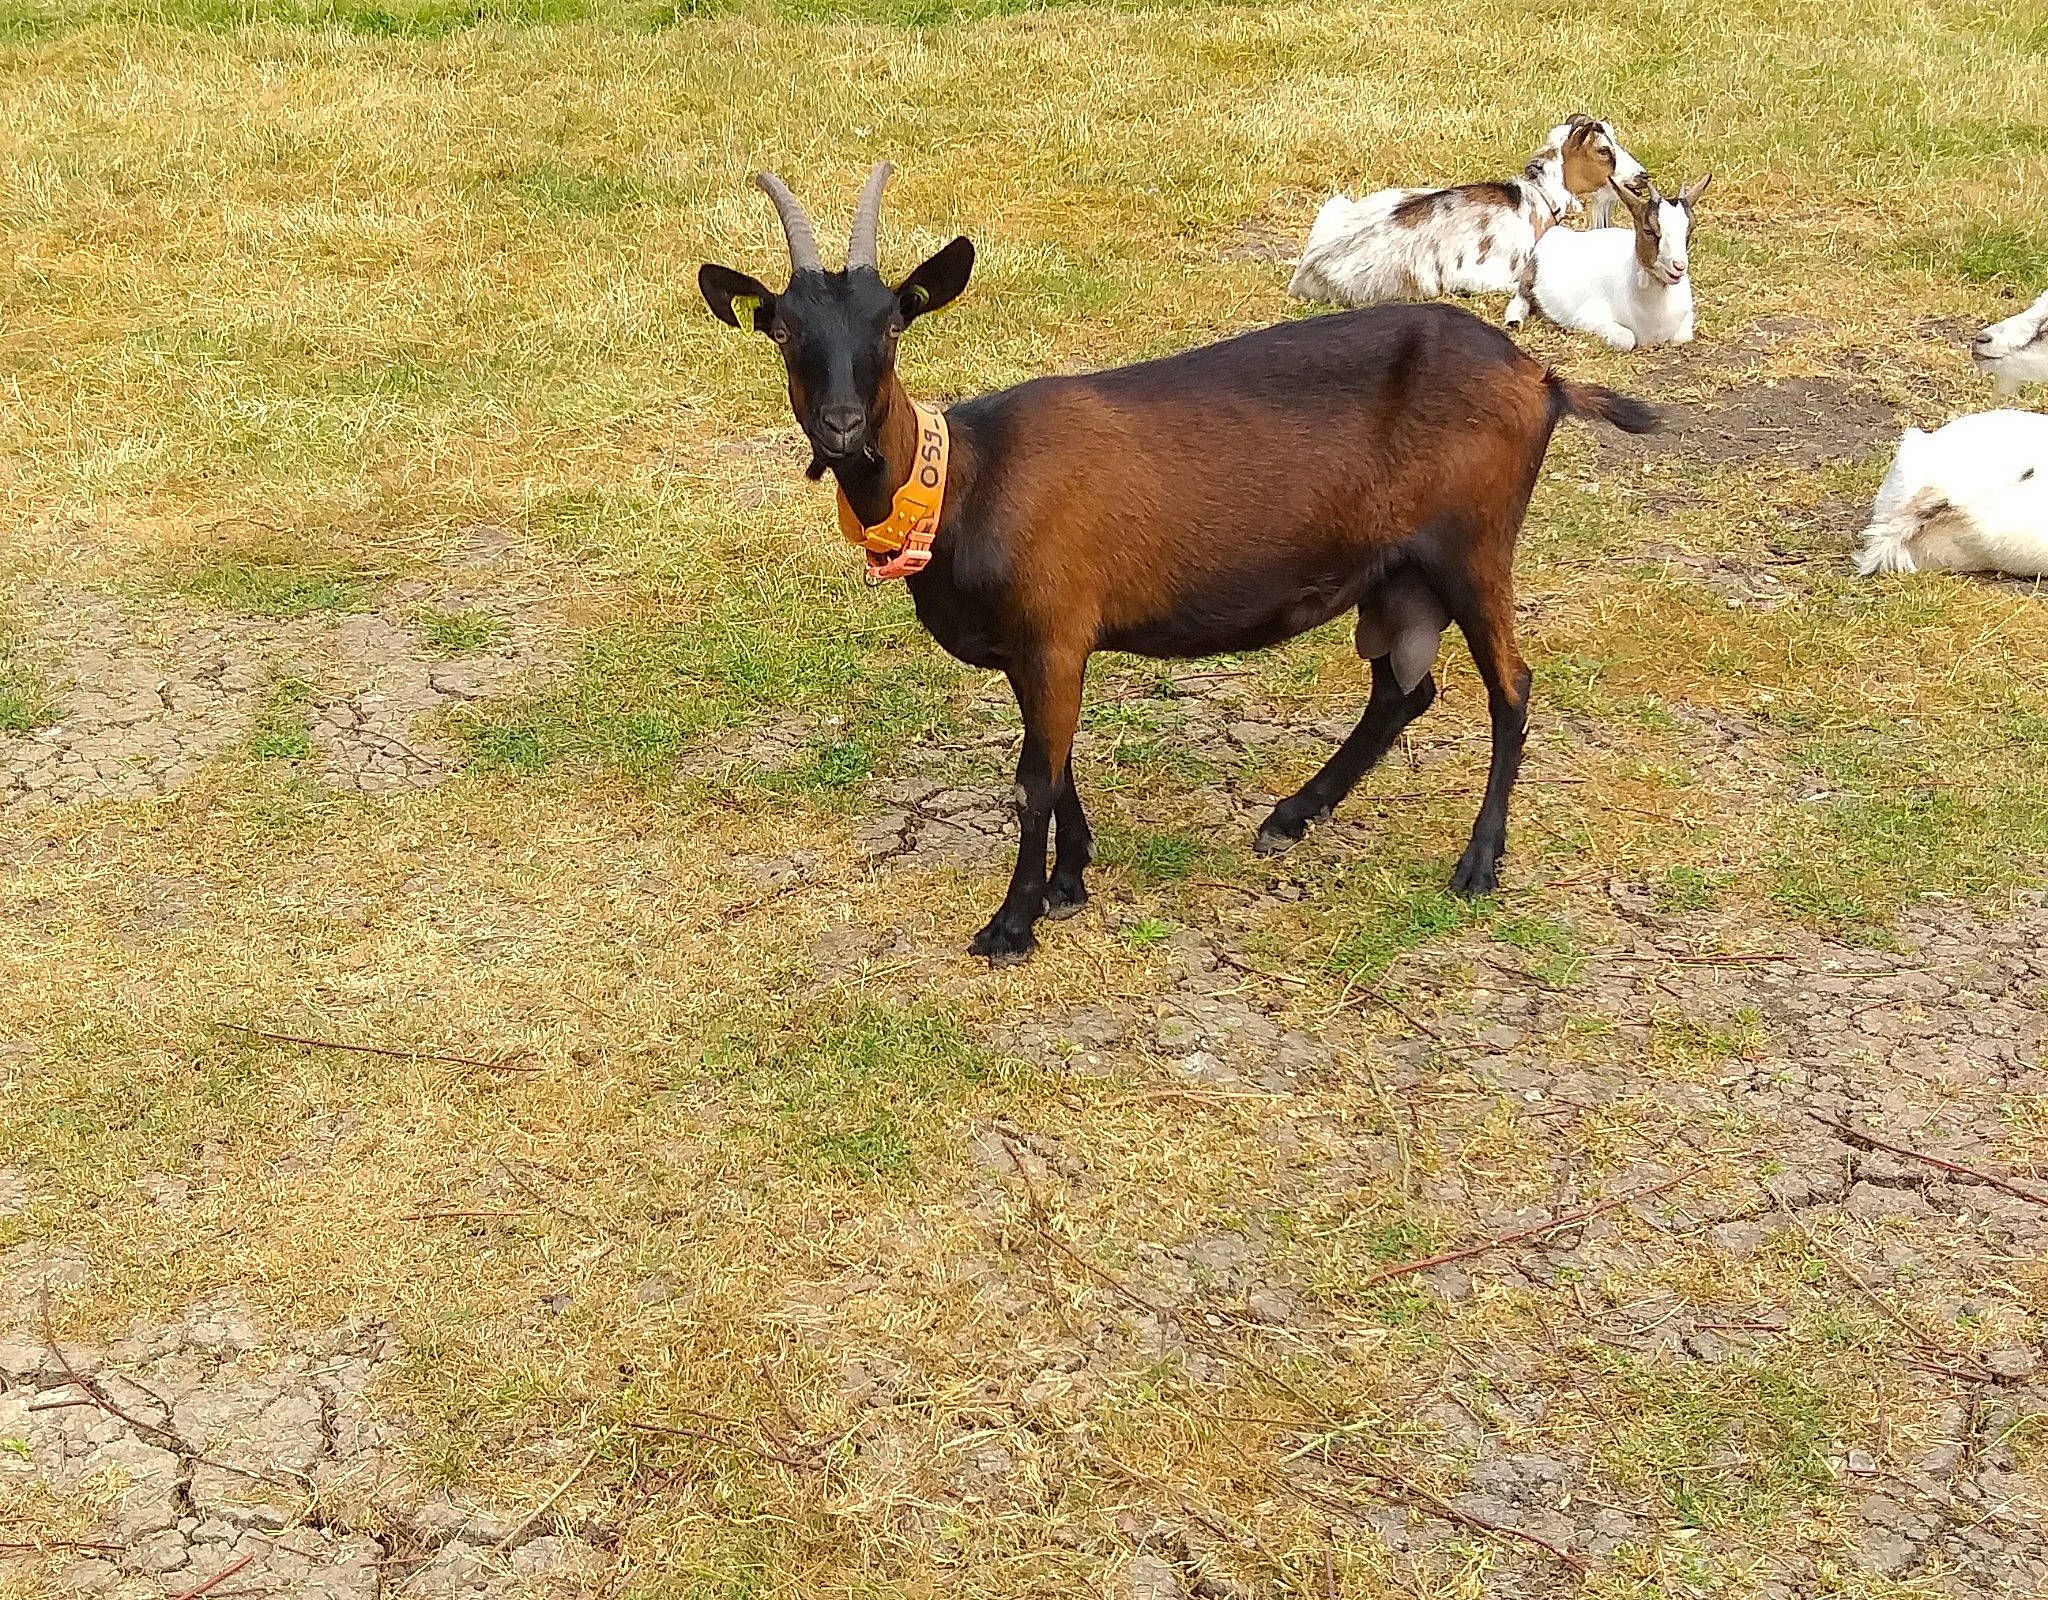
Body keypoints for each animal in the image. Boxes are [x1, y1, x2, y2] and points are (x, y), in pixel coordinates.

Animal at [699, 164, 1660, 963]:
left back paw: (1477, 863)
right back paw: (1291, 817)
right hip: (1399, 575)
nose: (842, 426)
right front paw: (1070, 880)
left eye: (895, 321)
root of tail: (1541, 380)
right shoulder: (1037, 647)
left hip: (1474, 546)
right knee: (1403, 693)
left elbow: (1033, 778)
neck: (967, 480)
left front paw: (1012, 923)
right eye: (780, 329)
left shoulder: (1055, 630)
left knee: (1512, 687)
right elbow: (1058, 760)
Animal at [1506, 175, 1709, 350]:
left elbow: (1682, 337)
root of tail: (1555, 233)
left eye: (1689, 229)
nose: (1679, 267)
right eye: (1649, 230)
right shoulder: (1587, 317)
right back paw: (1514, 321)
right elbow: (1626, 339)